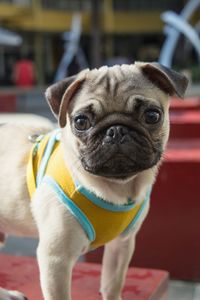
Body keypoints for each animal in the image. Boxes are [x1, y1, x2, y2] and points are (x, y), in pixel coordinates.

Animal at [0, 62, 188, 298]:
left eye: (152, 116)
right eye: (81, 122)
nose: (116, 130)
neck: (116, 189)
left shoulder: (121, 246)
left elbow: (112, 285)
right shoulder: (56, 259)